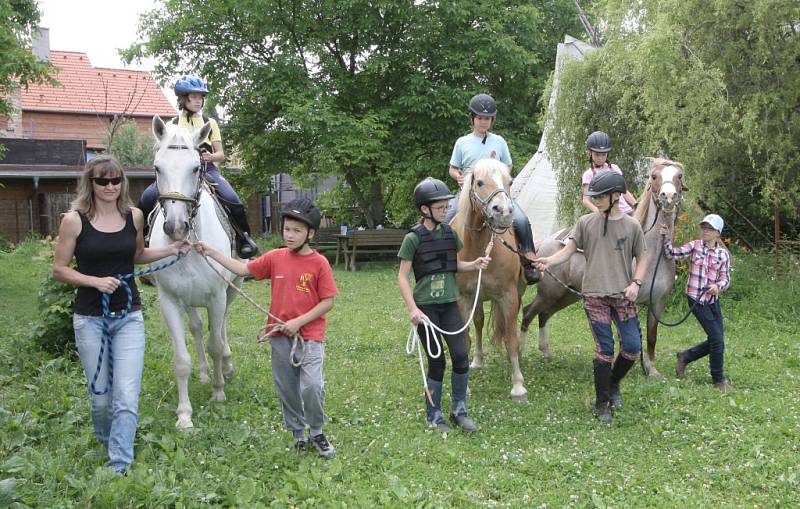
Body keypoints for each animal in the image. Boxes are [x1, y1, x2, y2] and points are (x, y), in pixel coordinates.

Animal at [148, 114, 241, 424]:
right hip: (189, 301)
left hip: (230, 291)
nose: (176, 228)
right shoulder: (170, 300)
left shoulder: (217, 296)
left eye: (195, 167)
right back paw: (203, 373)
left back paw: (226, 367)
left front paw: (219, 391)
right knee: (198, 329)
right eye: (157, 167)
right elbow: (181, 359)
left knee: (220, 329)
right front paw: (184, 414)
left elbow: (215, 344)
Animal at [454, 157, 528, 398]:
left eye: (510, 181)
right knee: (478, 323)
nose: (503, 211)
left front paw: (518, 385)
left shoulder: (509, 296)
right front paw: (464, 386)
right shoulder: (464, 299)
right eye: (479, 182)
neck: (480, 246)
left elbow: (511, 338)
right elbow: (465, 340)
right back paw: (477, 361)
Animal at [520, 159, 688, 378]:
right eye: (653, 176)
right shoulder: (626, 302)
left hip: (566, 295)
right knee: (528, 312)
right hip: (550, 292)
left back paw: (546, 352)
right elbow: (623, 336)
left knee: (544, 314)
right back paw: (519, 354)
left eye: (679, 175)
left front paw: (651, 370)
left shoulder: (658, 303)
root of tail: (546, 243)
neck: (651, 255)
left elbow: (651, 336)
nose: (668, 196)